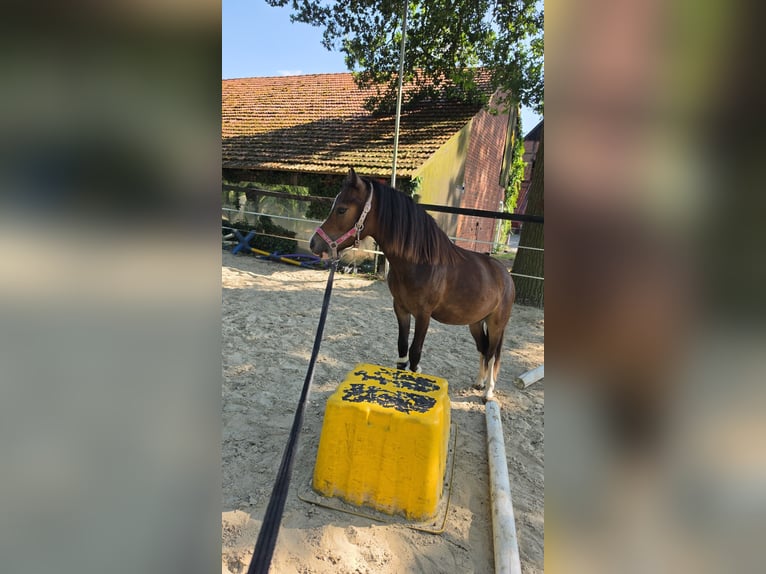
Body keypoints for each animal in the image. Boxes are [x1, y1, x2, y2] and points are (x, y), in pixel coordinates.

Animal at [310, 168, 515, 401]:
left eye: (342, 209)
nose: (314, 243)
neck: (420, 262)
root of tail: (505, 275)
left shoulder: (423, 315)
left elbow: (415, 354)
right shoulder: (401, 308)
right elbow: (402, 351)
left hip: (496, 323)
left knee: (492, 353)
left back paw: (488, 391)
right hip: (475, 322)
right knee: (482, 348)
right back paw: (479, 382)